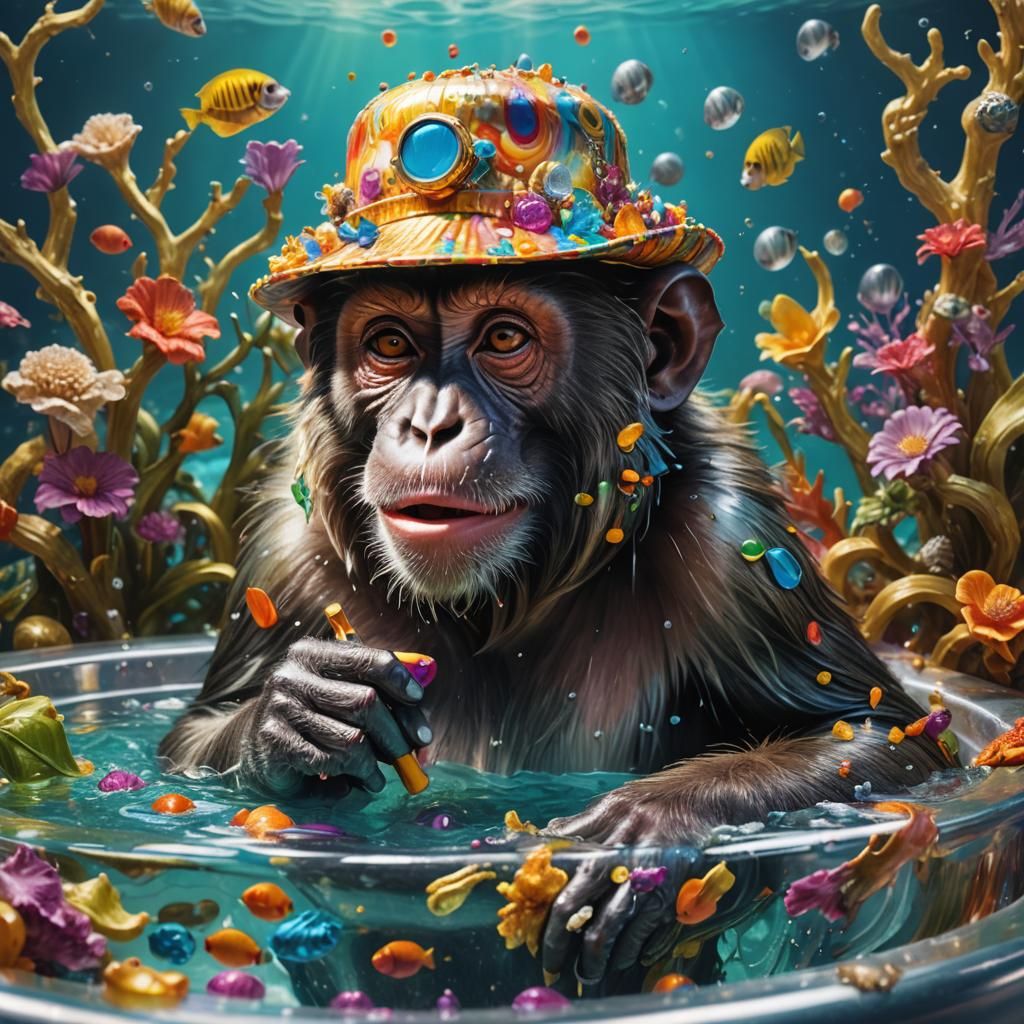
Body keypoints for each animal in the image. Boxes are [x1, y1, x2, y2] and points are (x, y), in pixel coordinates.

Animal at [159, 261, 948, 986]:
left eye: (505, 338)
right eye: (390, 344)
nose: (429, 425)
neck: (502, 597)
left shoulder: (734, 541)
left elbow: (880, 733)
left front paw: (645, 830)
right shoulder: (282, 552)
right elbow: (190, 738)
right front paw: (301, 714)